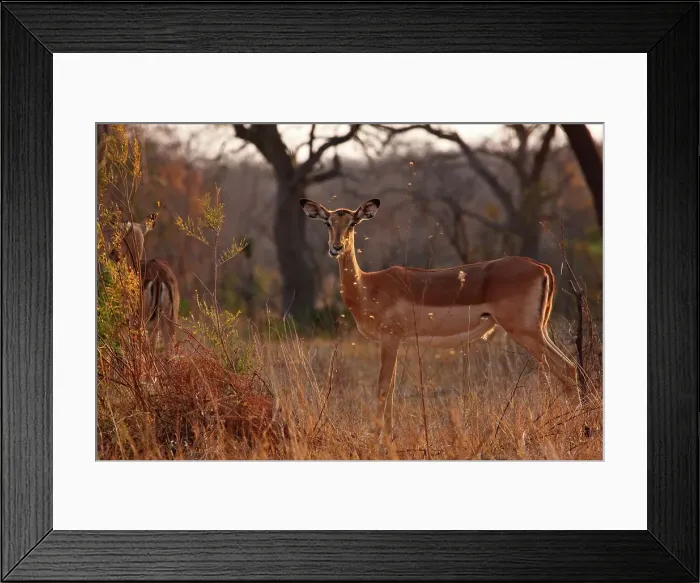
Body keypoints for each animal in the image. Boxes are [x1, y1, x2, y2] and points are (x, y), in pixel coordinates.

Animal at [109, 212, 180, 357]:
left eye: (121, 236)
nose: (113, 254)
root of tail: (159, 276)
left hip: (145, 321)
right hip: (169, 321)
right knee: (169, 354)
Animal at [300, 198, 580, 444]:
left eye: (353, 223)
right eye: (327, 222)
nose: (335, 248)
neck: (368, 287)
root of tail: (542, 267)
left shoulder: (390, 339)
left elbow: (383, 388)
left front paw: (378, 441)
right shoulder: (394, 342)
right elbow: (391, 388)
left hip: (525, 332)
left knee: (566, 369)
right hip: (538, 331)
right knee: (570, 368)